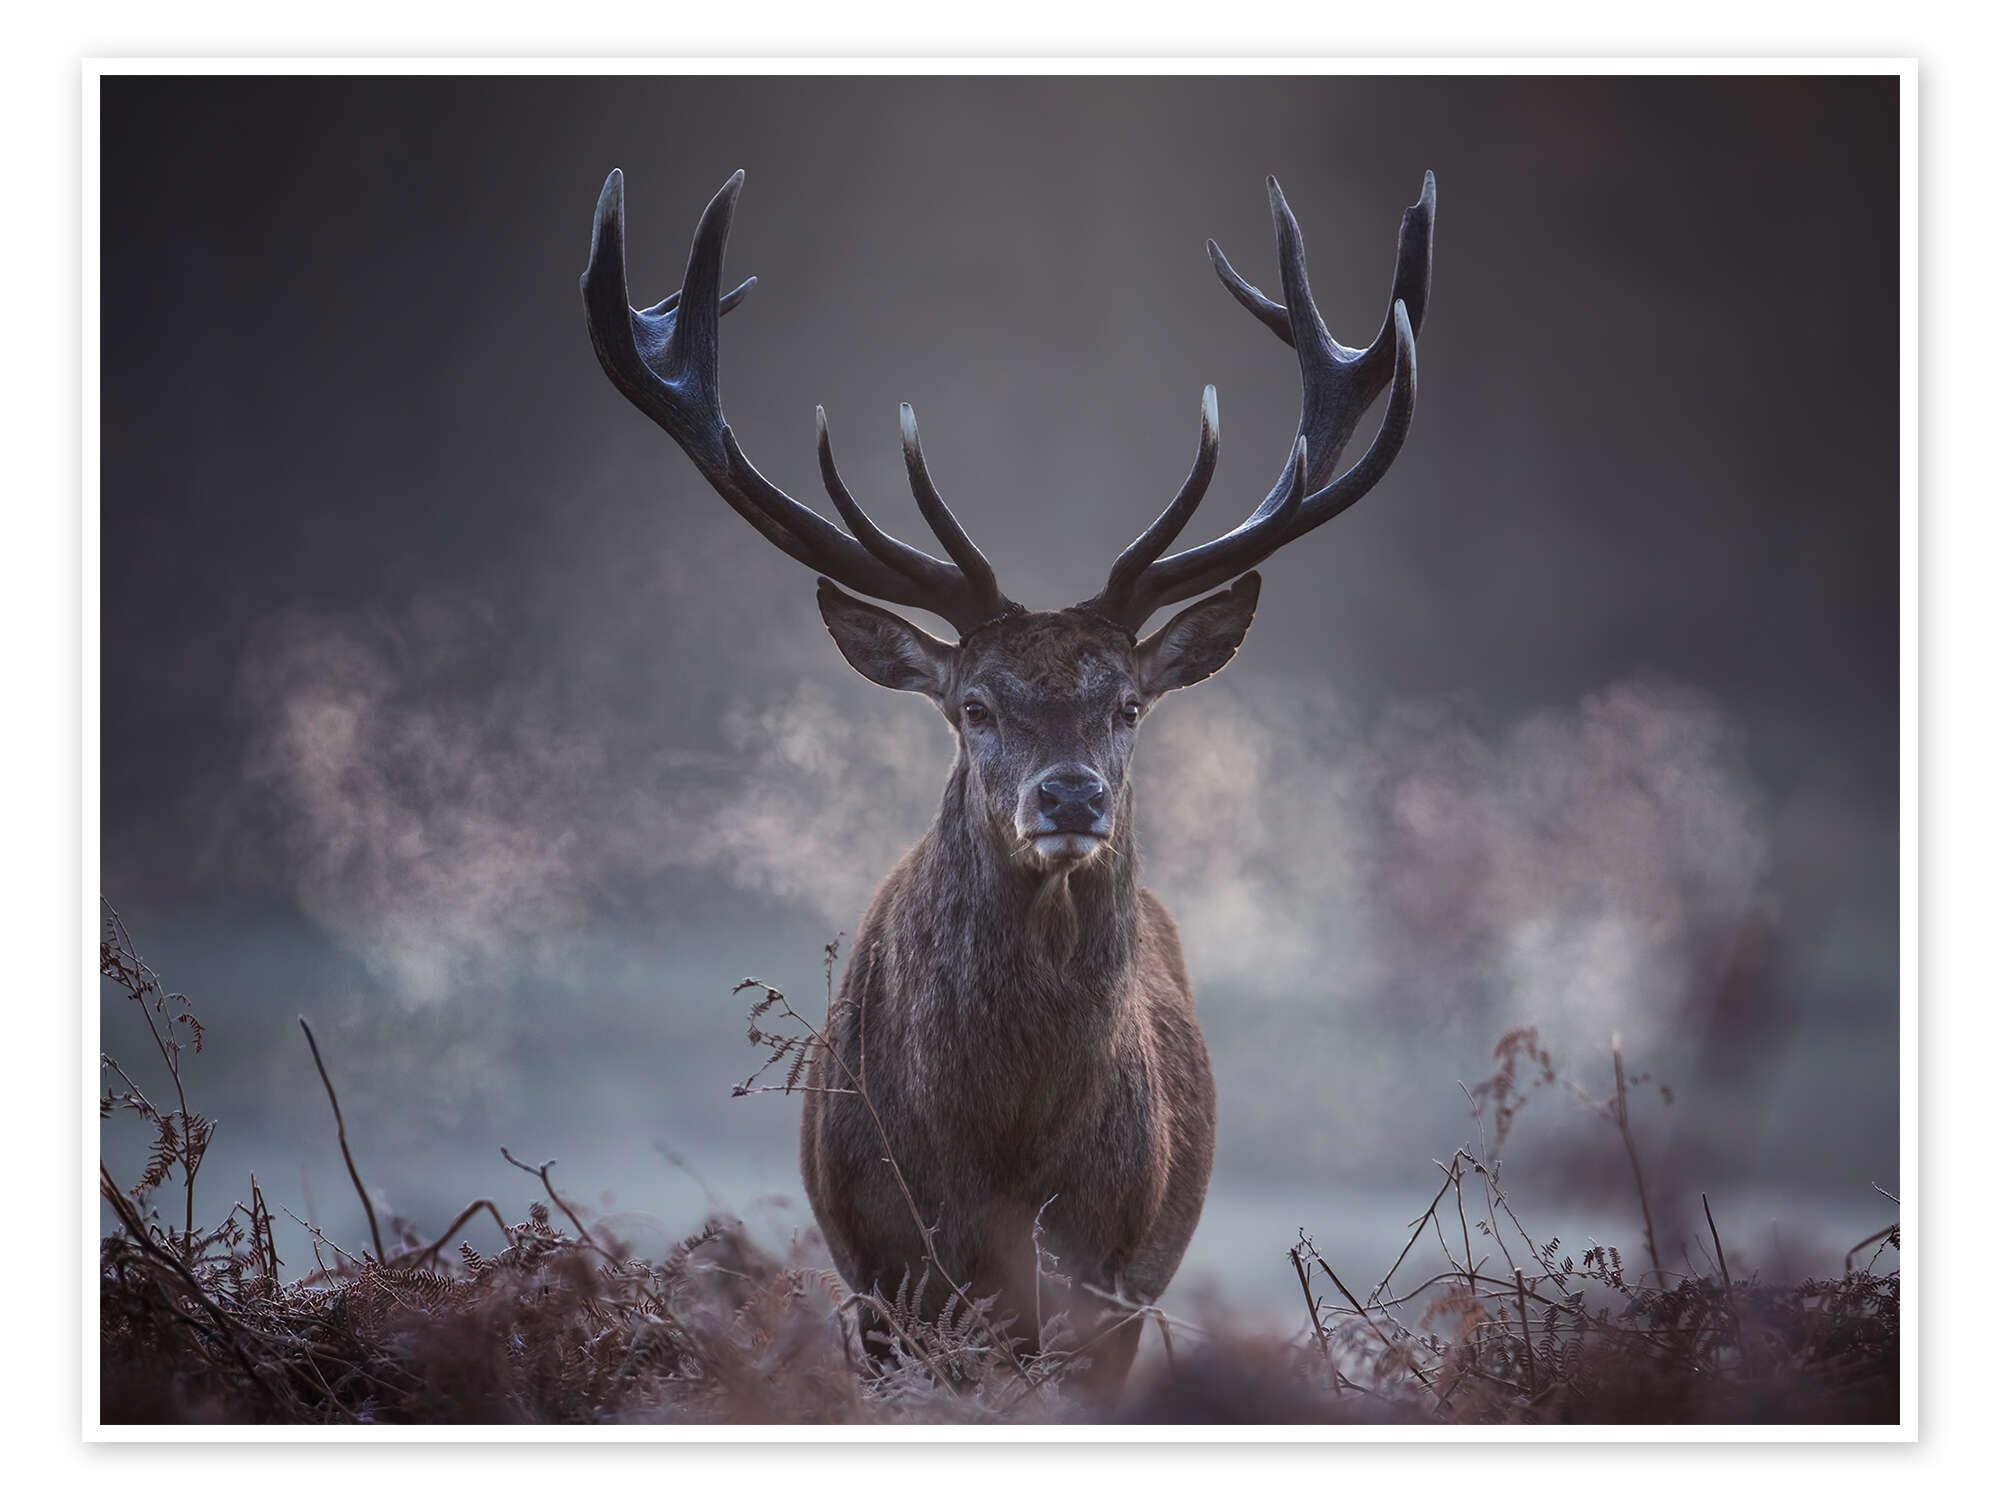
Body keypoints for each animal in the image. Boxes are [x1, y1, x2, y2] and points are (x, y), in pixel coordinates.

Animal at [581, 164, 1434, 1390]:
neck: (999, 1168)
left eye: (1127, 705)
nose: (1069, 795)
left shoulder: (1108, 1292)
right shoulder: (881, 1278)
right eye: (973, 706)